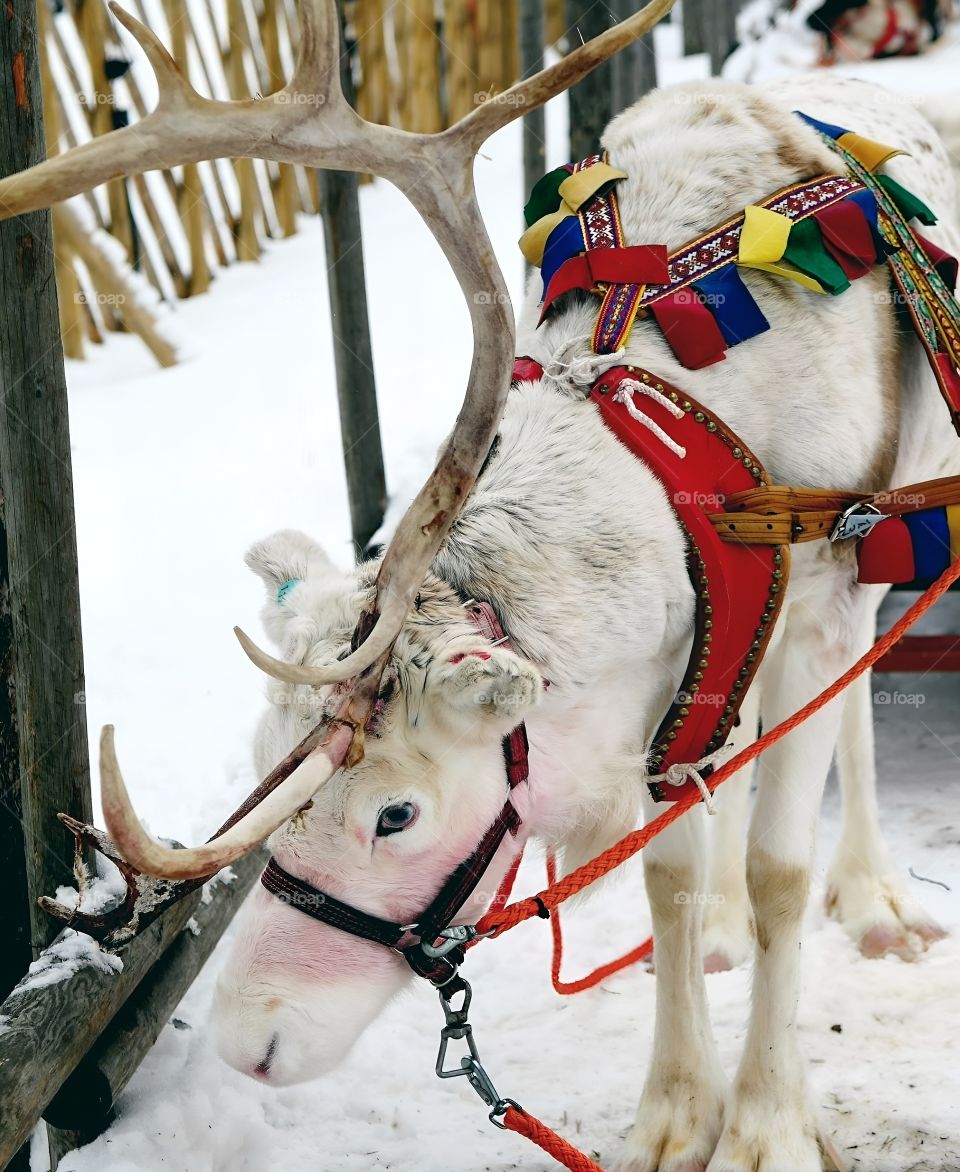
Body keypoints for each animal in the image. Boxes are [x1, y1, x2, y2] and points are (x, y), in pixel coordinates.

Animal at [3, 2, 957, 1169]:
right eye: (268, 770)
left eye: (396, 813)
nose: (246, 1042)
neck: (688, 462)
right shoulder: (687, 668)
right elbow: (672, 875)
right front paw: (674, 1110)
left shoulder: (815, 602)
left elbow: (783, 868)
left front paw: (765, 1123)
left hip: (891, 535)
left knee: (857, 709)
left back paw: (870, 897)